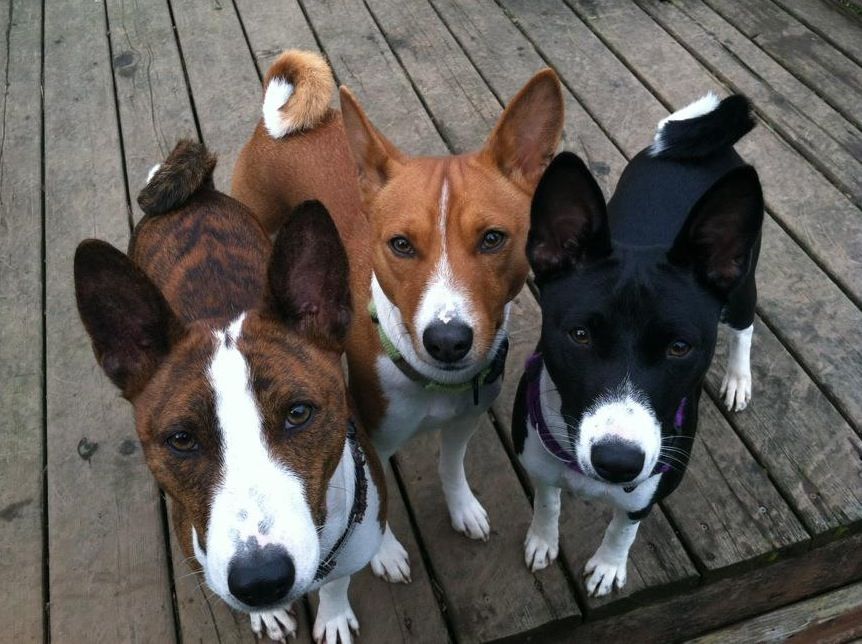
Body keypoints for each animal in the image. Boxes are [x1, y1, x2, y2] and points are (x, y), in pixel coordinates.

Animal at [74, 140, 385, 643]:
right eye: (182, 439)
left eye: (299, 413)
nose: (261, 581)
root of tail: (194, 194)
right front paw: (267, 615)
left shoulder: (352, 547)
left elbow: (339, 583)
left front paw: (334, 615)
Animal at [233, 50, 564, 582]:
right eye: (401, 245)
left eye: (493, 238)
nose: (447, 340)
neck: (435, 383)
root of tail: (275, 127)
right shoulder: (373, 438)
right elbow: (377, 500)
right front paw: (384, 552)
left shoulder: (465, 419)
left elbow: (451, 468)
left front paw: (462, 508)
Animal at [512, 93, 763, 596]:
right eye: (580, 335)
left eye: (680, 348)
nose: (618, 462)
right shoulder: (539, 467)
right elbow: (548, 504)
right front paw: (543, 540)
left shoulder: (648, 492)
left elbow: (622, 527)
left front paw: (608, 566)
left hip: (741, 288)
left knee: (744, 328)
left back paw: (737, 379)